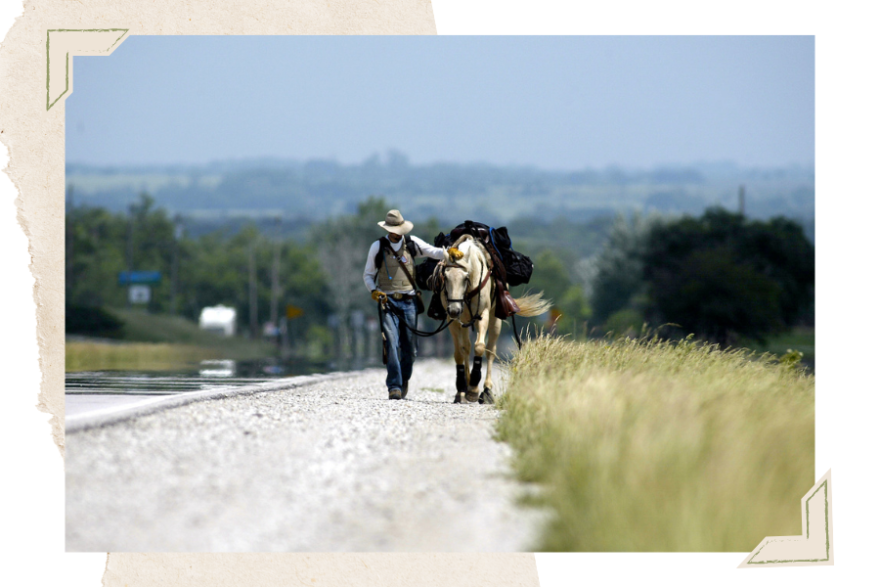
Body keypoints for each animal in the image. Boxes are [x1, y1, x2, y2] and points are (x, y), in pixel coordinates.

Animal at [434, 234, 552, 404]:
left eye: (465, 278)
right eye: (445, 276)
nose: (455, 310)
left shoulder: (482, 315)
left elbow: (480, 347)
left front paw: (473, 389)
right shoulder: (454, 321)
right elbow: (459, 352)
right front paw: (462, 389)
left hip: (495, 320)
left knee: (490, 350)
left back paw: (487, 391)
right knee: (465, 347)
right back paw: (464, 389)